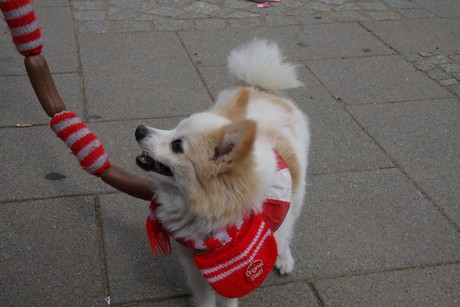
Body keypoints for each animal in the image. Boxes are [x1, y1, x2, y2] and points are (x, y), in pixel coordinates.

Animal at [135, 39, 310, 306]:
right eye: (174, 127)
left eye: (178, 146)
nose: (139, 130)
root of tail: (262, 89)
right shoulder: (194, 264)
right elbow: (205, 300)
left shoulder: (235, 270)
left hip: (295, 197)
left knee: (286, 230)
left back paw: (284, 257)